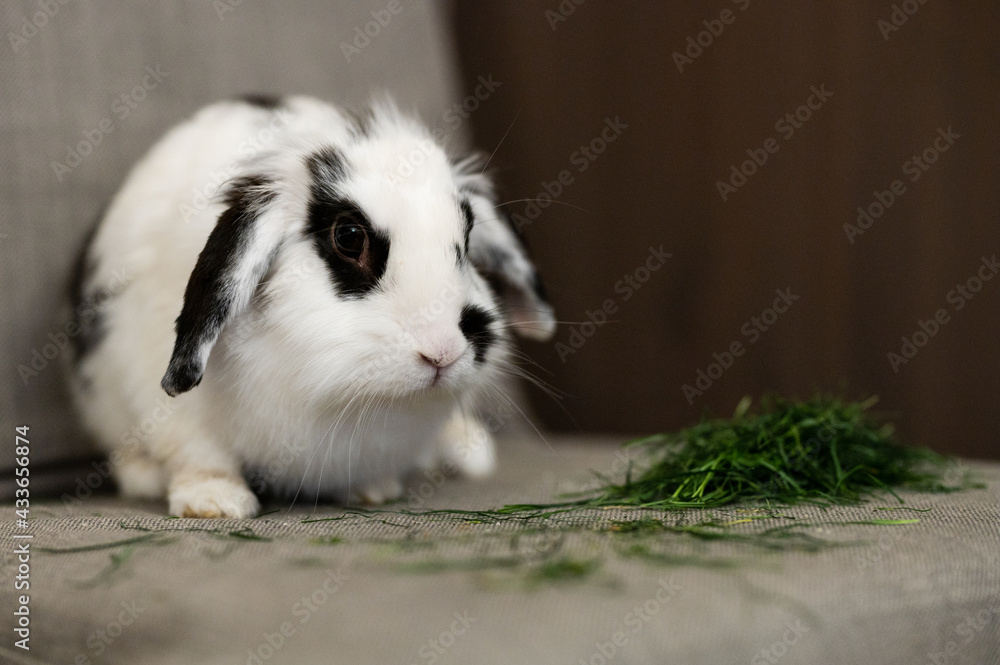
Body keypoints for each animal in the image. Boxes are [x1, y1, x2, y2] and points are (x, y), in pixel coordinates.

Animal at [66, 95, 555, 518]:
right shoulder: (175, 412)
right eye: (349, 237)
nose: (443, 352)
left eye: (467, 238)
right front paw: (215, 503)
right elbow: (201, 457)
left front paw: (373, 490)